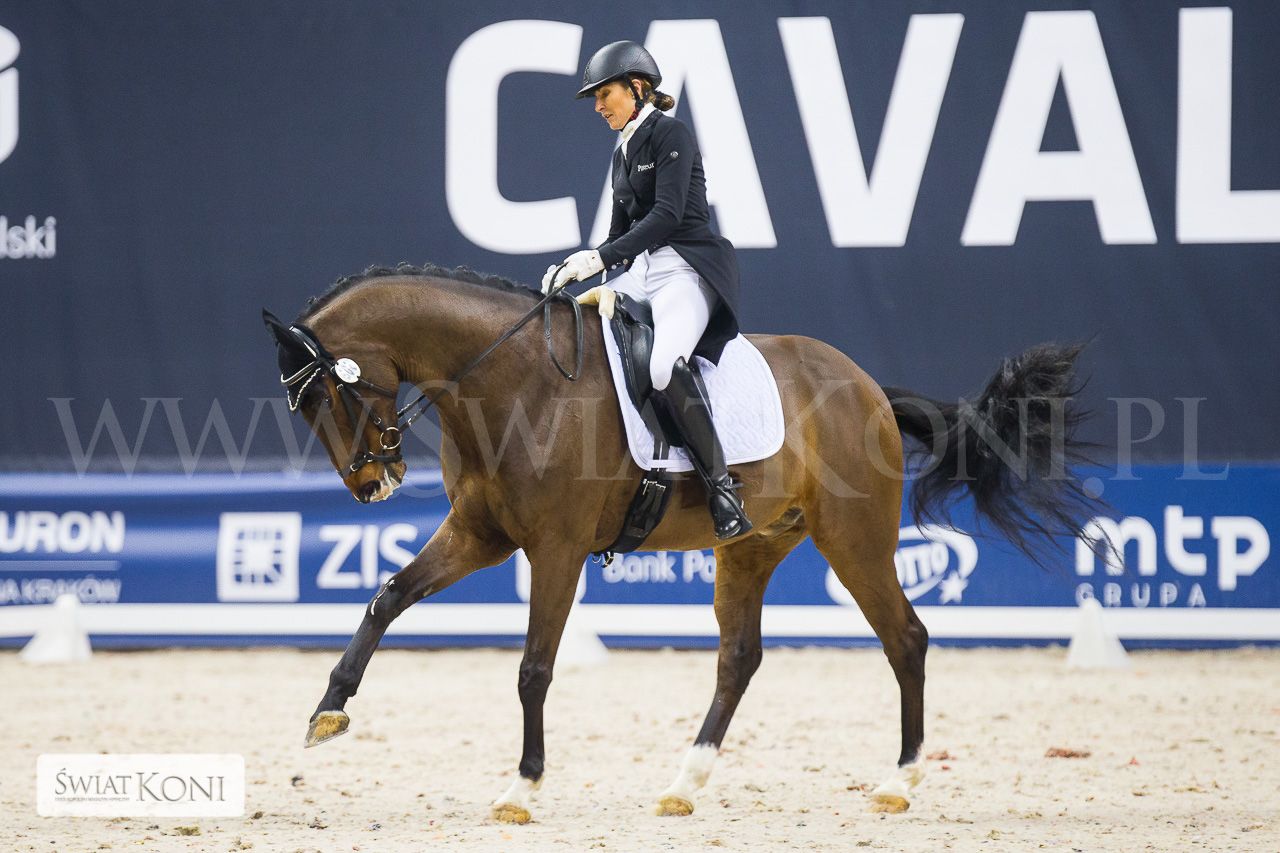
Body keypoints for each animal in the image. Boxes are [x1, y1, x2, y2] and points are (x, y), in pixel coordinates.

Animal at [262, 262, 1095, 823]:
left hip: (854, 540)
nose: (372, 485)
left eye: (332, 391)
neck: (508, 377)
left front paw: (522, 785)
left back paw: (898, 781)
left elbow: (534, 667)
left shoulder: (555, 547)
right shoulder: (479, 534)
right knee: (739, 655)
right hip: (752, 546)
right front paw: (327, 710)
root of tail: (865, 385)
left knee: (906, 639)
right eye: (301, 405)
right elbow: (388, 596)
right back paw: (684, 782)